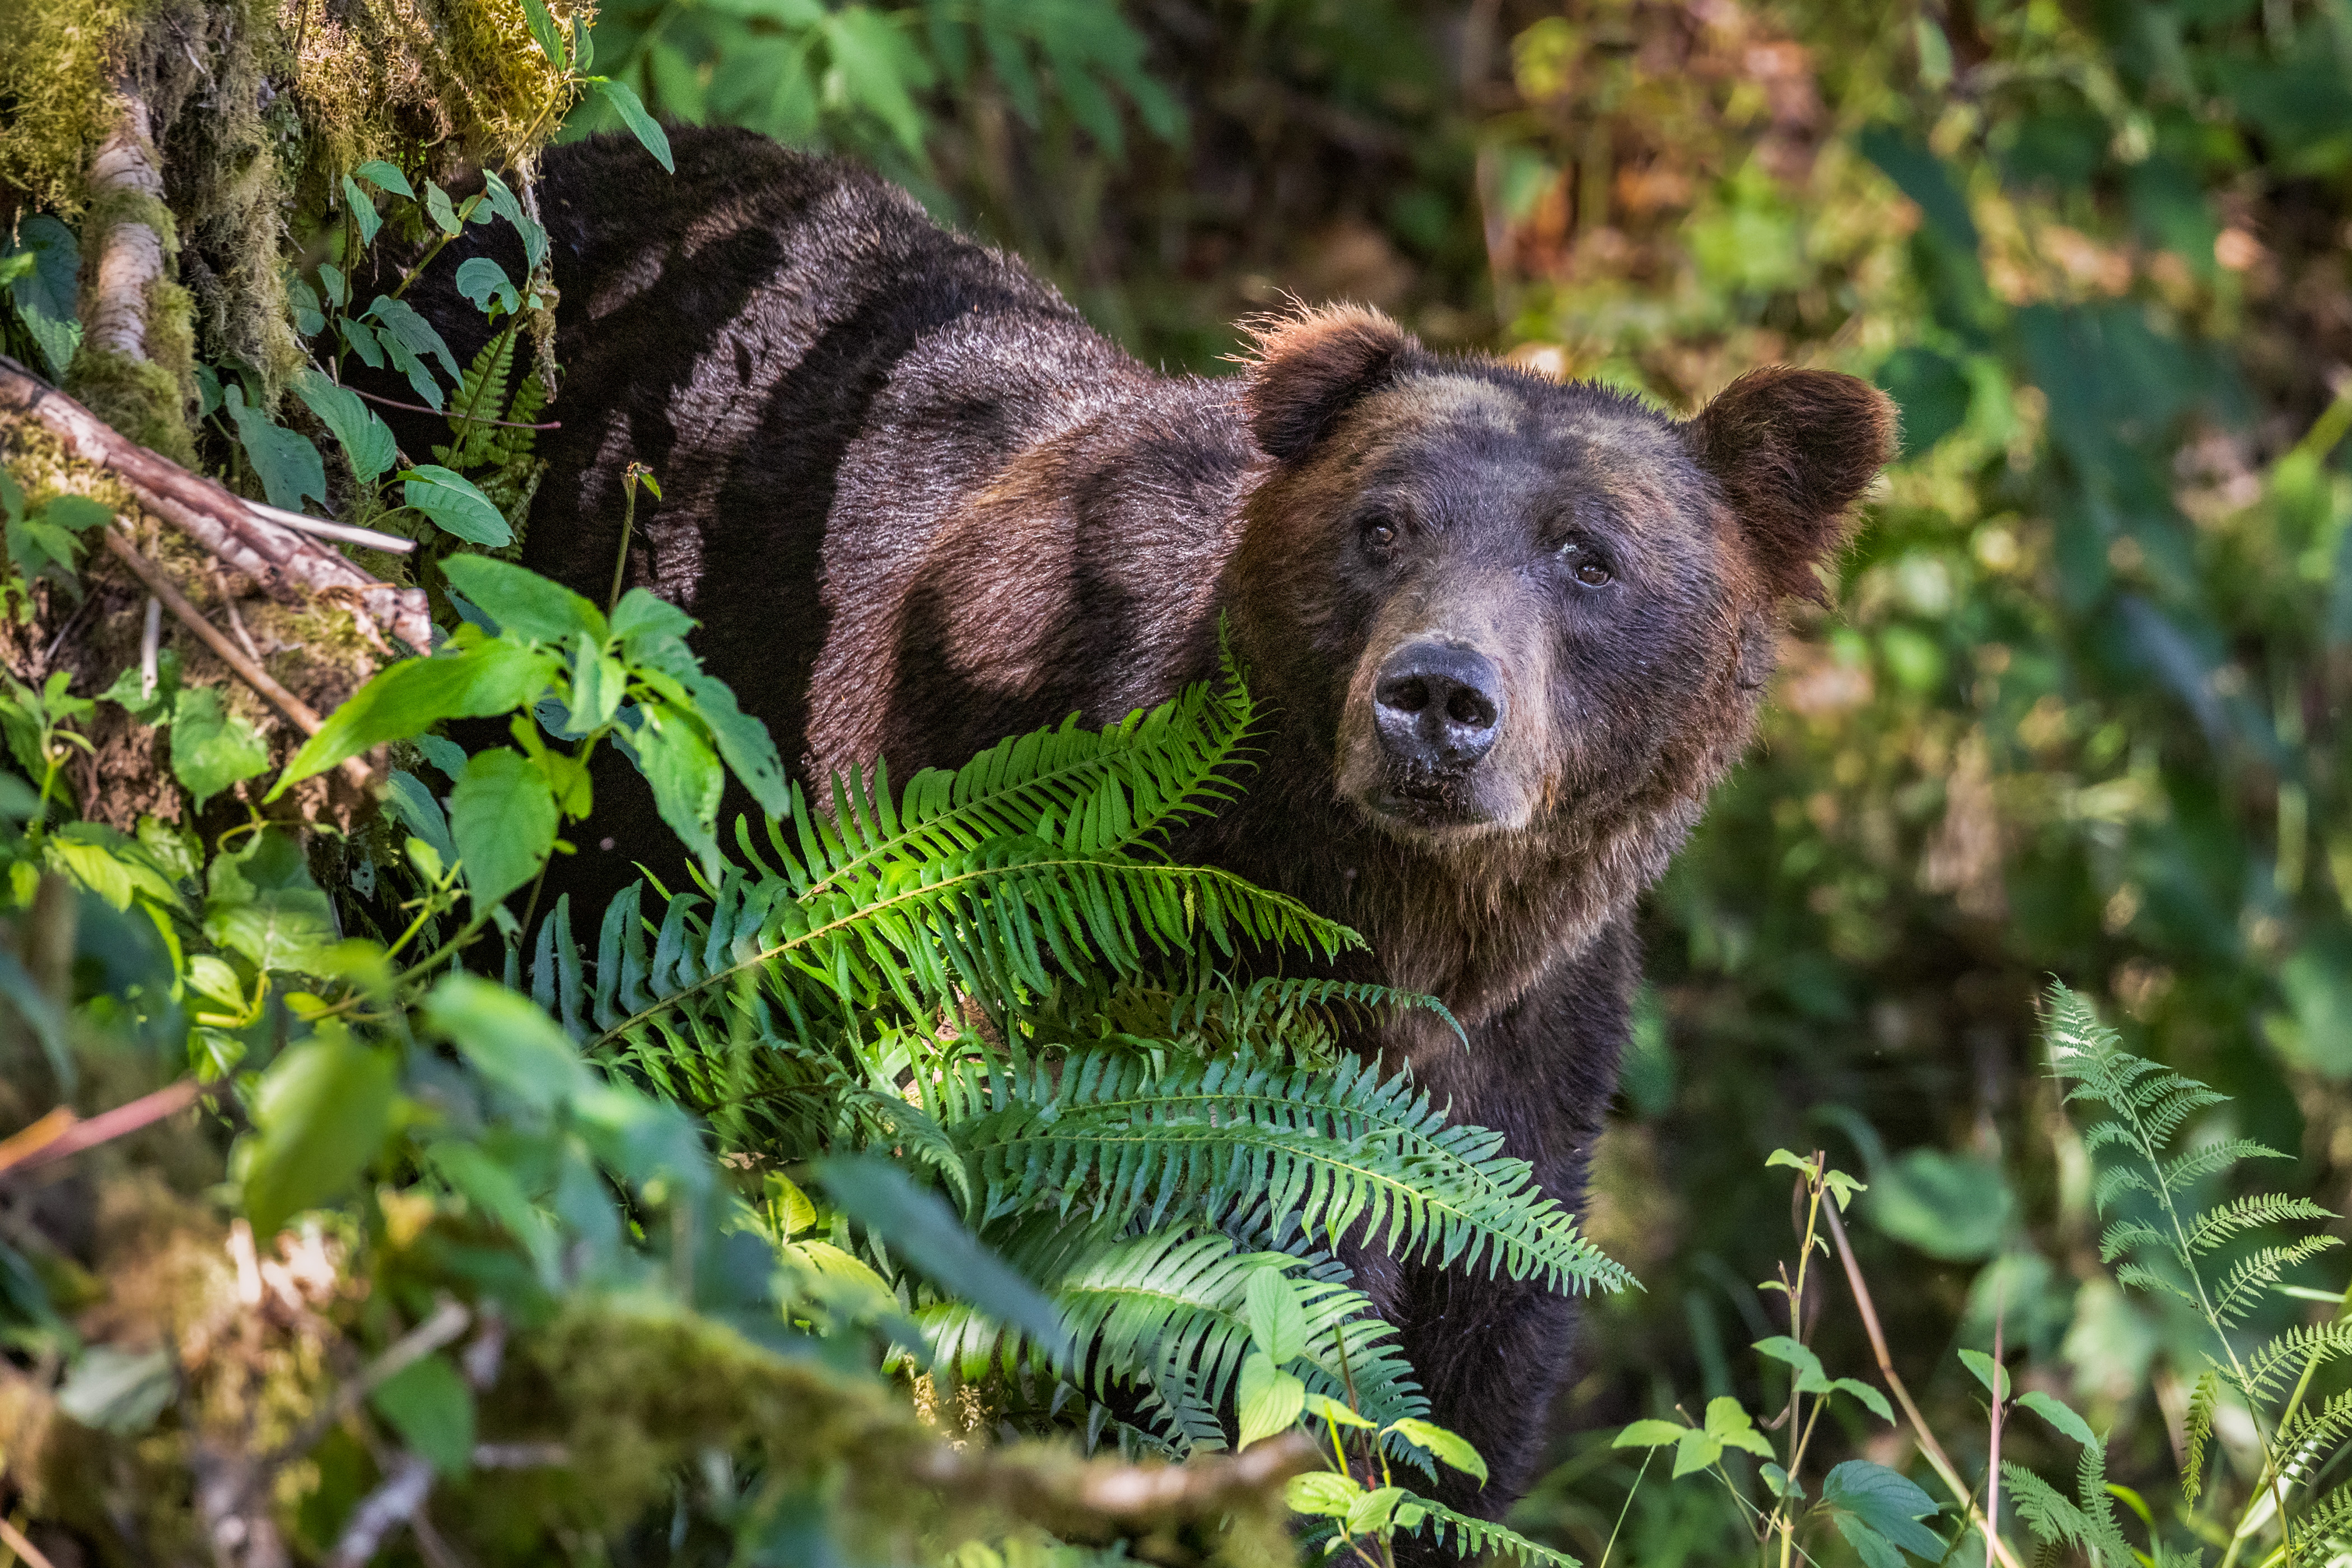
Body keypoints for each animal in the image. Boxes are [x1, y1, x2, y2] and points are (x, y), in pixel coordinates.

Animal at [381, 125, 1891, 1542]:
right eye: (1382, 525)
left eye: (1589, 556)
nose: (1437, 700)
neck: (1399, 918)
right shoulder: (1118, 958)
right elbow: (1235, 1322)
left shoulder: (1529, 1066)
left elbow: (1474, 1380)